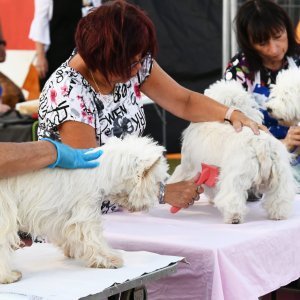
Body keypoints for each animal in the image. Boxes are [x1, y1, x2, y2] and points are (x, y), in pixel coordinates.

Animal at [0, 135, 169, 284]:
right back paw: (9, 276)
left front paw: (72, 251)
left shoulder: (63, 218)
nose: (157, 200)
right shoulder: (86, 215)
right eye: (157, 182)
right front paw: (109, 259)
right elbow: (95, 240)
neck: (102, 172)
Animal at [168, 79, 296, 223]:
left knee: (232, 197)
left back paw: (234, 217)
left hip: (236, 177)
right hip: (281, 177)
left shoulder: (188, 167)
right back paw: (278, 215)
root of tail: (261, 144)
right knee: (279, 199)